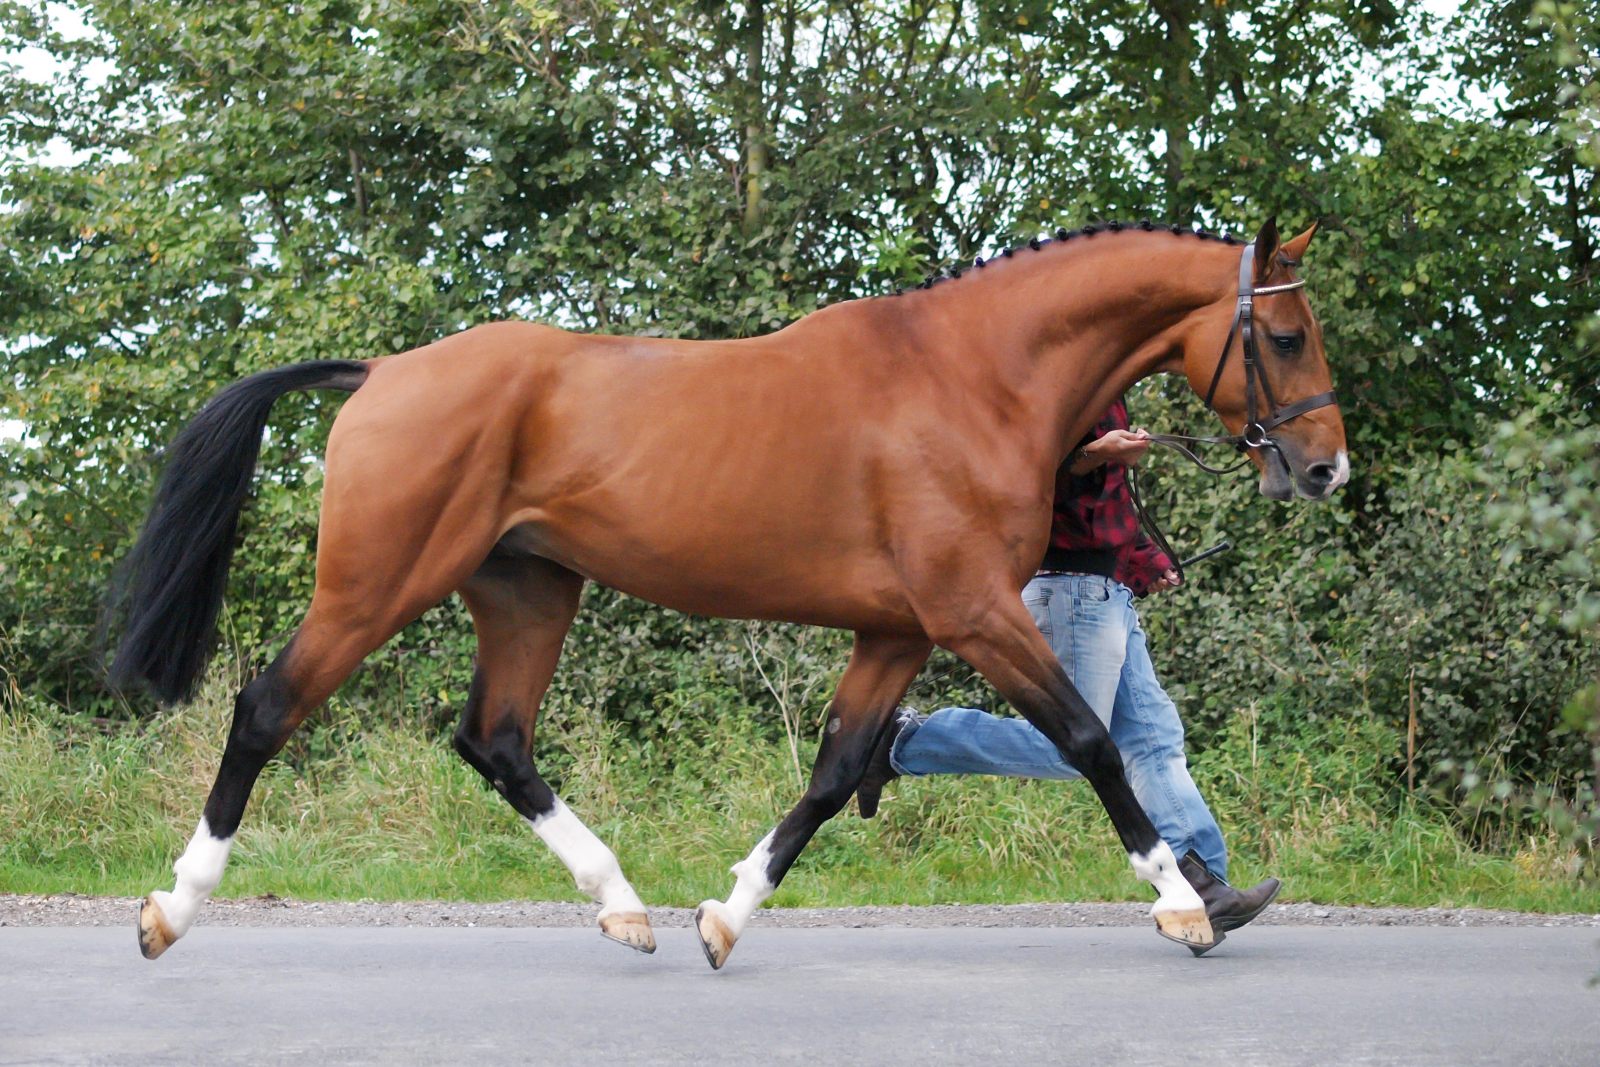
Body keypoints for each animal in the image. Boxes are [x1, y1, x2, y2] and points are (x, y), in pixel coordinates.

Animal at [109, 214, 1350, 966]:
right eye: (1287, 334)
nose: (1324, 468)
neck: (971, 378)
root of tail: (382, 374)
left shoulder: (895, 630)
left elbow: (837, 767)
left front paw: (724, 914)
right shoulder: (974, 613)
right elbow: (1092, 741)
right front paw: (1183, 904)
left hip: (528, 591)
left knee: (496, 738)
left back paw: (623, 903)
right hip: (379, 583)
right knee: (268, 708)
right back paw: (171, 905)